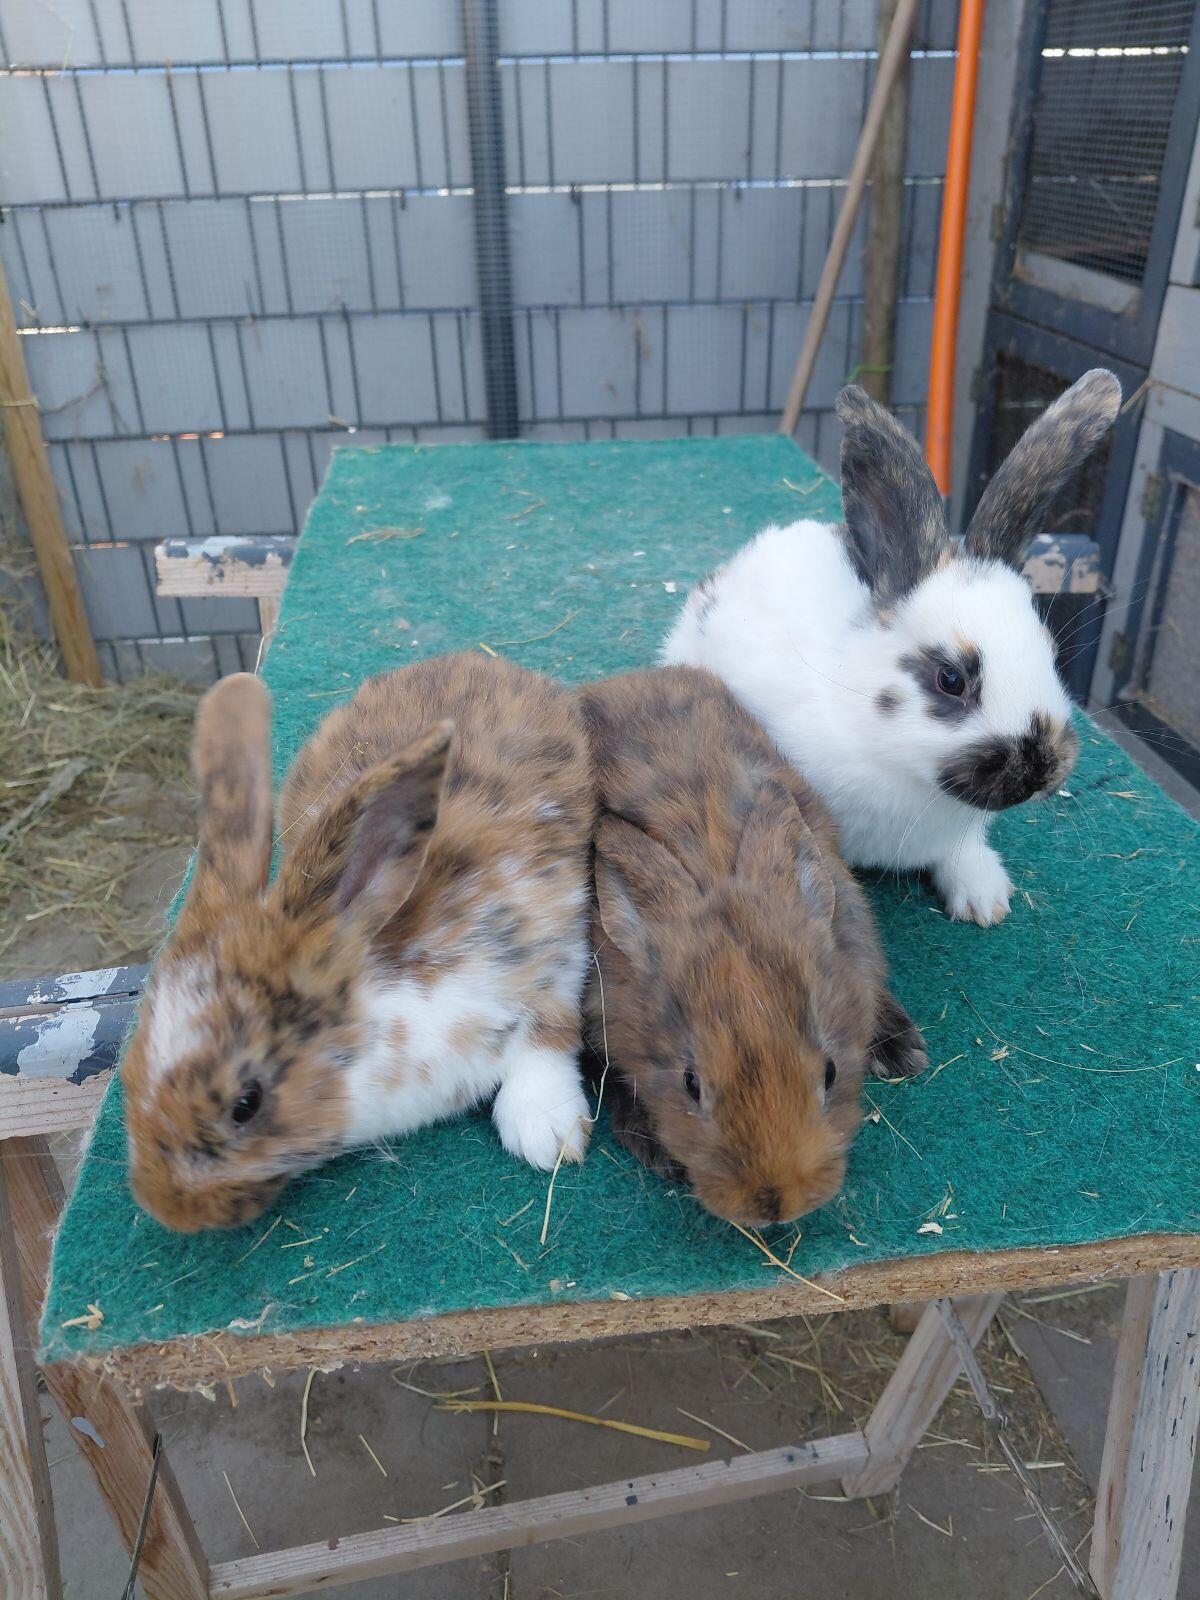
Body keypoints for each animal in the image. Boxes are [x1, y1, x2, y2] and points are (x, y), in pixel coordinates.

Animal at [122, 652, 595, 1232]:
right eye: (128, 1074)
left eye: (246, 1103)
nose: (167, 1208)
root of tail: (469, 657)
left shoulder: (552, 944)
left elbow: (549, 1038)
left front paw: (547, 1134)